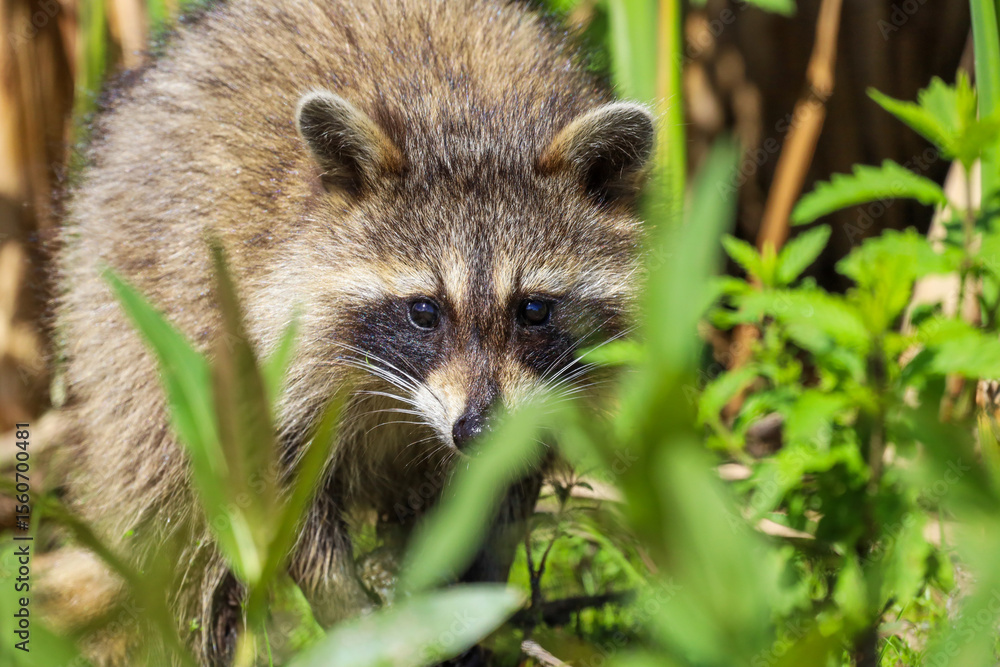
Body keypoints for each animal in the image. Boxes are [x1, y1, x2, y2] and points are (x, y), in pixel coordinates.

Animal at [55, 0, 654, 663]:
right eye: (424, 311)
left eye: (534, 310)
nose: (475, 431)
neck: (467, 120)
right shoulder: (262, 339)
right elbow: (276, 488)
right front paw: (346, 606)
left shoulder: (540, 396)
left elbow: (502, 494)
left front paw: (473, 595)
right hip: (128, 335)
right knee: (173, 519)